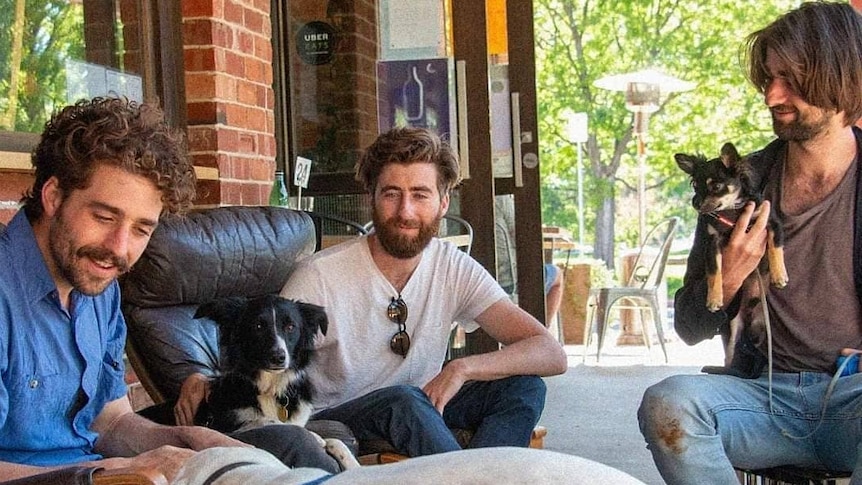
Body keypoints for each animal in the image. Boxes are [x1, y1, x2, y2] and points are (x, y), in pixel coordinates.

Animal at [194, 294, 360, 468]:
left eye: (290, 327)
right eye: (258, 326)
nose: (278, 357)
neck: (270, 387)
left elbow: (335, 441)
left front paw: (352, 464)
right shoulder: (222, 426)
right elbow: (269, 421)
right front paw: (315, 436)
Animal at [676, 142, 788, 312]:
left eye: (716, 186)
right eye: (695, 186)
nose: (695, 203)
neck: (732, 210)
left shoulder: (773, 223)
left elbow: (775, 248)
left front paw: (779, 275)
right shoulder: (713, 242)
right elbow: (714, 271)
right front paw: (714, 299)